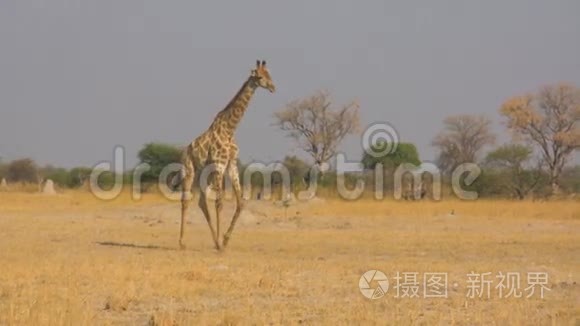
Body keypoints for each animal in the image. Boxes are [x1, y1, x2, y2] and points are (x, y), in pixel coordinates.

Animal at [178, 59, 276, 251]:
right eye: (260, 77)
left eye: (270, 74)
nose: (273, 87)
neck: (230, 129)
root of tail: (185, 151)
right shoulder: (219, 164)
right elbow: (220, 203)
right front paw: (222, 242)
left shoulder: (231, 164)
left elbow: (241, 202)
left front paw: (224, 239)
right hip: (190, 169)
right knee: (186, 200)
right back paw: (182, 242)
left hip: (206, 173)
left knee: (202, 201)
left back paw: (215, 241)